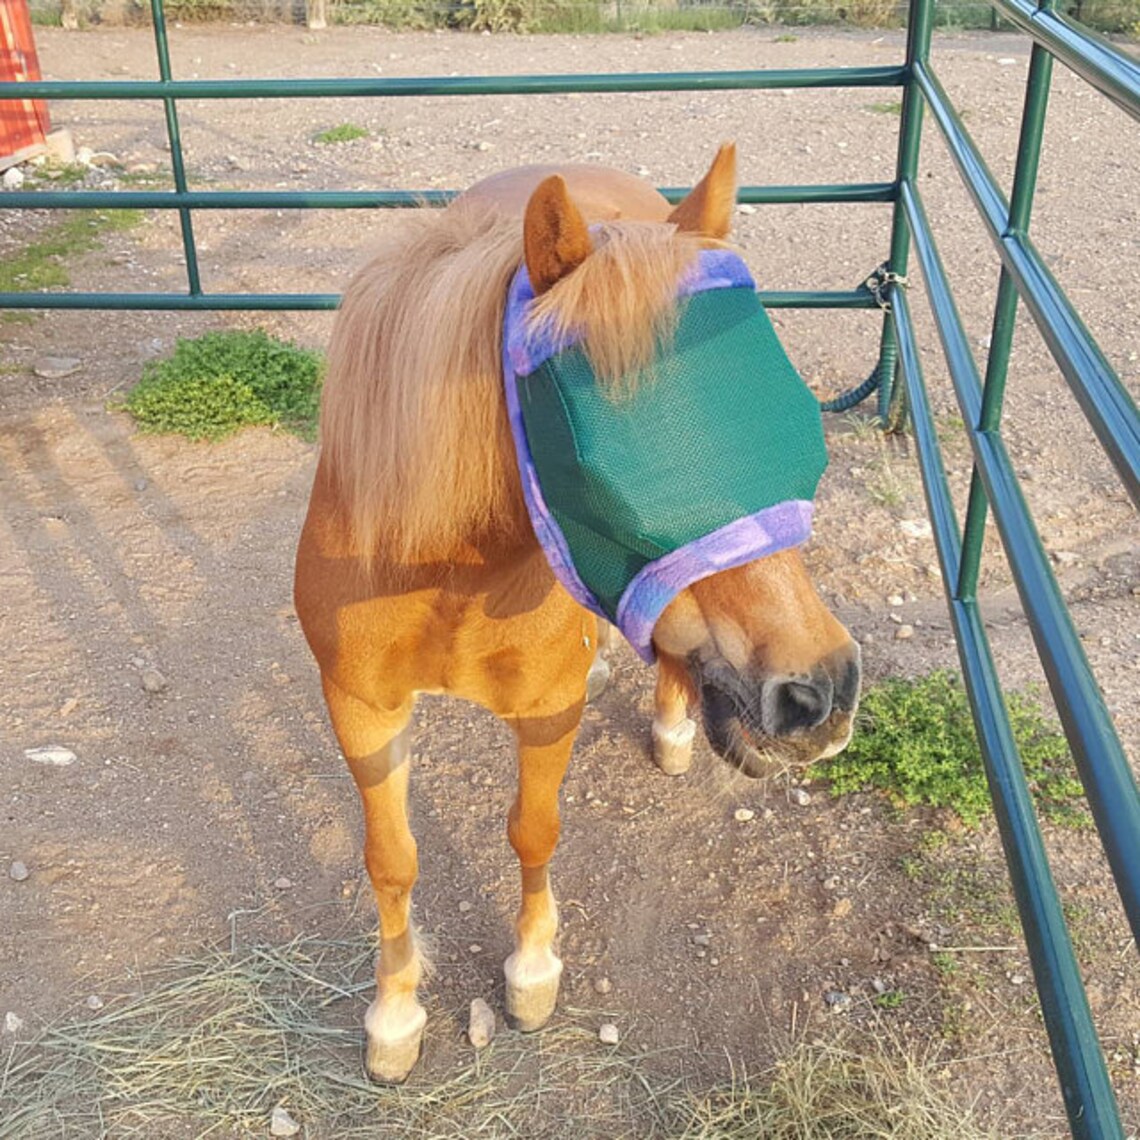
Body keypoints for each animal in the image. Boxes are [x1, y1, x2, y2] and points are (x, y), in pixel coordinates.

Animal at [293, 144, 861, 1083]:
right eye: (608, 472)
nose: (823, 693)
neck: (448, 568)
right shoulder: (360, 708)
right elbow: (391, 862)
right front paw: (395, 1017)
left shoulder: (546, 713)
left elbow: (533, 833)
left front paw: (530, 976)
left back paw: (671, 731)